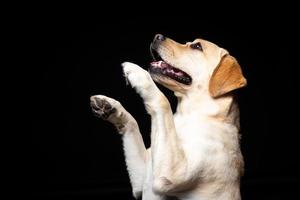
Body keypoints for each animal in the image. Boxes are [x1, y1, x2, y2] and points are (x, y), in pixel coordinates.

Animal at [90, 34, 247, 200]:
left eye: (197, 46)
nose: (157, 36)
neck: (189, 115)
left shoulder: (172, 174)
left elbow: (162, 101)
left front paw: (139, 73)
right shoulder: (141, 180)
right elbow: (133, 123)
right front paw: (110, 106)